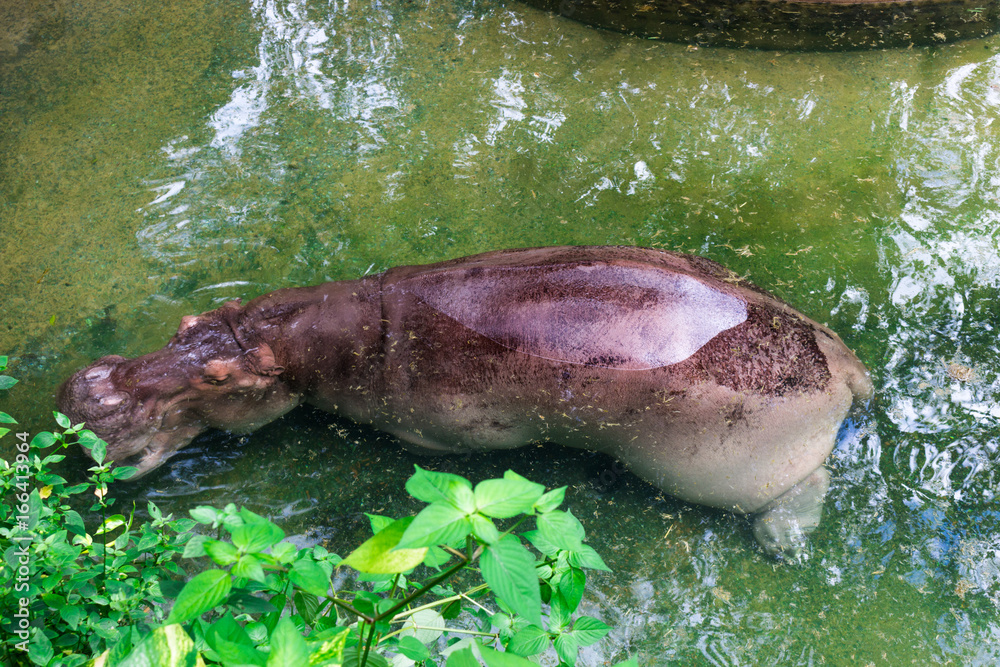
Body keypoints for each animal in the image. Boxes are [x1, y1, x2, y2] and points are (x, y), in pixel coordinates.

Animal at [59, 246, 872, 556]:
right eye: (183, 325)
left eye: (220, 379)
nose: (92, 391)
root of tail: (841, 366)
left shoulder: (442, 434)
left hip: (723, 469)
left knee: (803, 488)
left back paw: (782, 543)